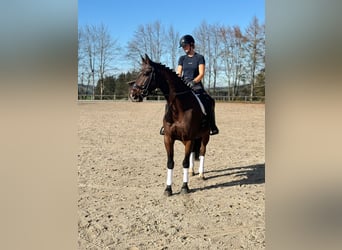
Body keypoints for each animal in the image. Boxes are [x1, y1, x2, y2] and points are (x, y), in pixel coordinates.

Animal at [130, 54, 211, 197]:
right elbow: (170, 162)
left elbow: (184, 162)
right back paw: (192, 171)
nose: (133, 95)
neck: (179, 108)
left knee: (202, 151)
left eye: (146, 73)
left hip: (205, 136)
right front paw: (168, 188)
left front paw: (185, 187)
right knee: (193, 152)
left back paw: (201, 174)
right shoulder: (168, 138)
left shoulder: (188, 139)